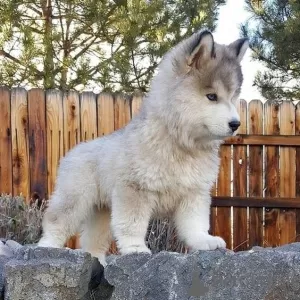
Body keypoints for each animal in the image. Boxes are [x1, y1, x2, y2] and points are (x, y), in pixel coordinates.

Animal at [38, 29, 248, 264]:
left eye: (233, 97)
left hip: (102, 211)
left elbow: (195, 224)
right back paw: (47, 248)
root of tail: (74, 149)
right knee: (56, 222)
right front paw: (135, 247)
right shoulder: (134, 190)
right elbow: (132, 224)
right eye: (212, 96)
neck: (179, 144)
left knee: (93, 242)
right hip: (74, 200)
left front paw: (204, 240)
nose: (236, 124)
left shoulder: (193, 194)